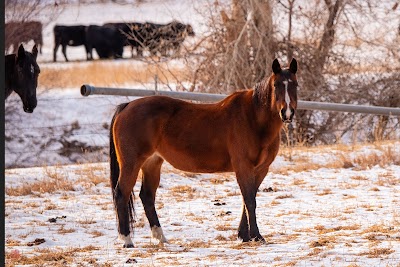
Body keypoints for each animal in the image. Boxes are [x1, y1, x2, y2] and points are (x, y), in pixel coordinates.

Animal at [109, 57, 296, 248]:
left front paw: (243, 235)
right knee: (121, 194)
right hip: (131, 163)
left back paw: (160, 237)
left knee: (147, 196)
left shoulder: (261, 169)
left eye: (294, 84)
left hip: (152, 163)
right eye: (276, 85)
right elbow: (250, 200)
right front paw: (256, 236)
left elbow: (247, 200)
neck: (252, 119)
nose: (287, 113)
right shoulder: (244, 167)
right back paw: (127, 240)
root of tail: (127, 106)